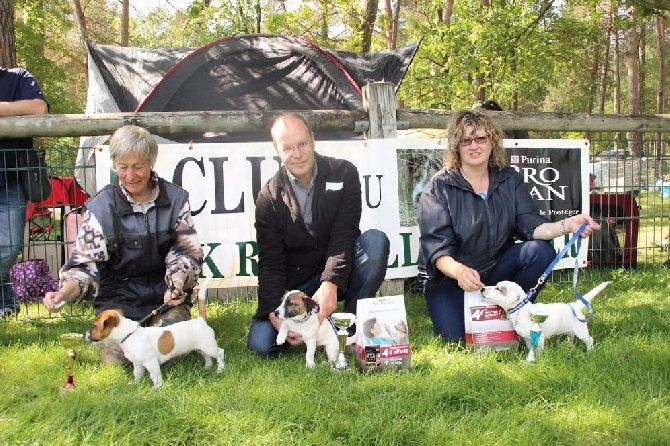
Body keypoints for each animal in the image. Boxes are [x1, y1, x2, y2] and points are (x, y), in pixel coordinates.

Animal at [84, 284, 224, 388]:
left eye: (95, 325)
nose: (85, 335)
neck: (130, 335)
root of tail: (200, 320)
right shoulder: (138, 364)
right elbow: (137, 374)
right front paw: (135, 384)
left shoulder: (151, 363)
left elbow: (155, 377)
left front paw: (156, 389)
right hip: (200, 347)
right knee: (207, 356)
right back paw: (207, 367)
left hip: (209, 346)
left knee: (220, 353)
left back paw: (220, 369)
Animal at [484, 280, 616, 350]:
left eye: (498, 289)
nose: (482, 288)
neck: (520, 309)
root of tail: (575, 306)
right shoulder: (527, 338)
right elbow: (530, 348)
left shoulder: (539, 337)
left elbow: (539, 351)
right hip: (570, 330)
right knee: (571, 337)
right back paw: (569, 347)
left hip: (581, 331)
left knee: (590, 340)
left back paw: (589, 351)